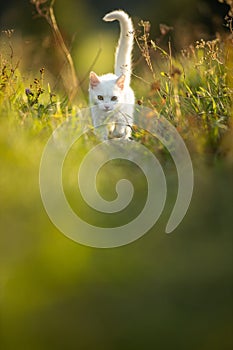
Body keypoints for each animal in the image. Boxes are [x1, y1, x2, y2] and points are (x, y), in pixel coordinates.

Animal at [88, 9, 135, 138]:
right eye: (100, 97)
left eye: (114, 98)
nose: (107, 106)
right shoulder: (97, 118)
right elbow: (102, 135)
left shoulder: (123, 115)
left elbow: (120, 128)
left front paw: (117, 134)